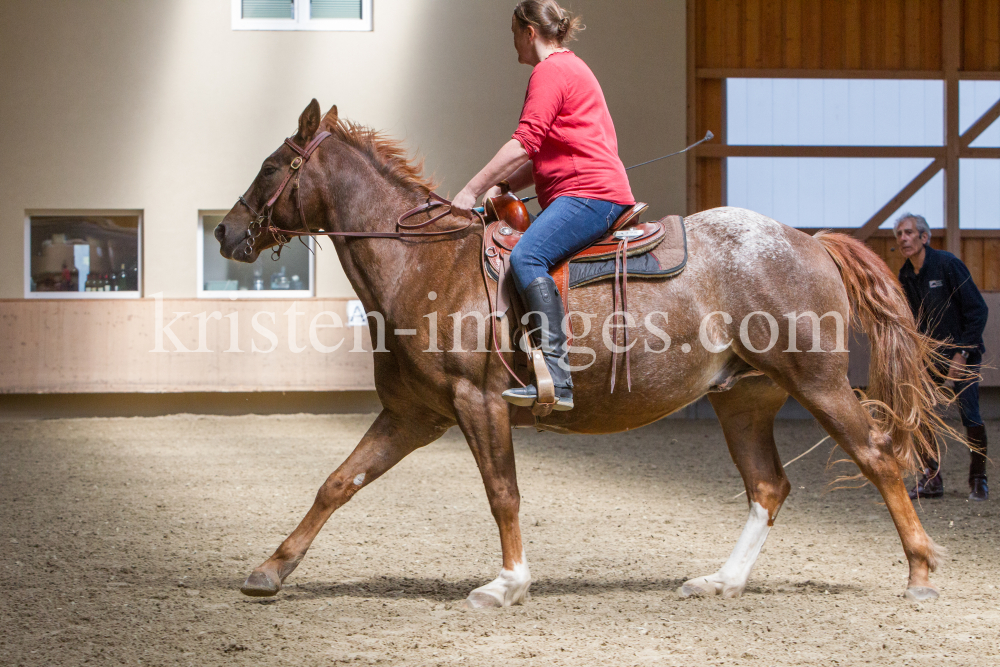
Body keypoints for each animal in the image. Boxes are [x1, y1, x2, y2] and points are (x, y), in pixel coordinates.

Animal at [217, 100, 952, 612]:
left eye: (272, 167)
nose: (226, 230)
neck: (422, 263)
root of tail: (811, 242)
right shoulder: (413, 415)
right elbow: (338, 482)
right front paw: (270, 571)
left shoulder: (477, 404)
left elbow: (503, 493)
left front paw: (507, 583)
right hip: (744, 398)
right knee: (768, 485)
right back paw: (722, 580)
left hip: (819, 384)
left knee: (879, 458)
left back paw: (919, 572)